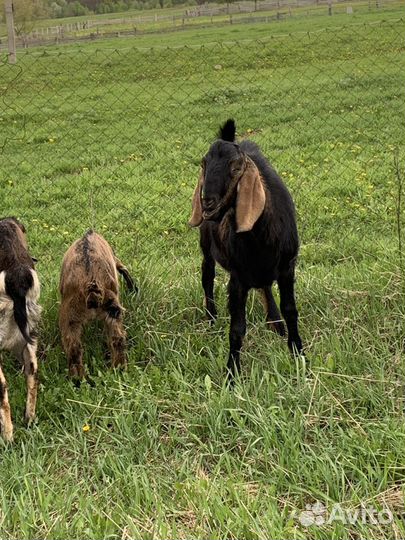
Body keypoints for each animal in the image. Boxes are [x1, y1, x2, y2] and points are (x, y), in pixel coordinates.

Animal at [188, 118, 302, 380]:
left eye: (236, 167)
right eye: (203, 163)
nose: (207, 203)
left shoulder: (287, 267)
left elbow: (290, 309)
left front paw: (298, 353)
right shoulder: (238, 277)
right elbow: (237, 328)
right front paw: (232, 374)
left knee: (264, 287)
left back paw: (276, 324)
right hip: (207, 248)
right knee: (207, 277)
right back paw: (211, 318)